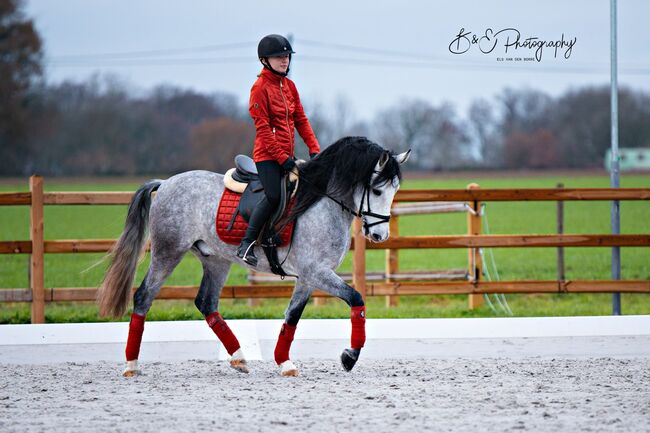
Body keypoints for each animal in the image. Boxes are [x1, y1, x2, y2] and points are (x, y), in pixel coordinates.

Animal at [95, 137, 410, 376]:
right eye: (377, 190)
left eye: (395, 190)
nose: (380, 236)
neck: (320, 202)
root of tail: (166, 183)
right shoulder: (316, 272)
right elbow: (356, 299)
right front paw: (349, 356)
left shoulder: (309, 277)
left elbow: (292, 316)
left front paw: (284, 362)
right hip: (168, 252)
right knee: (144, 297)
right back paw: (131, 365)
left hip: (216, 260)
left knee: (206, 303)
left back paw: (238, 358)